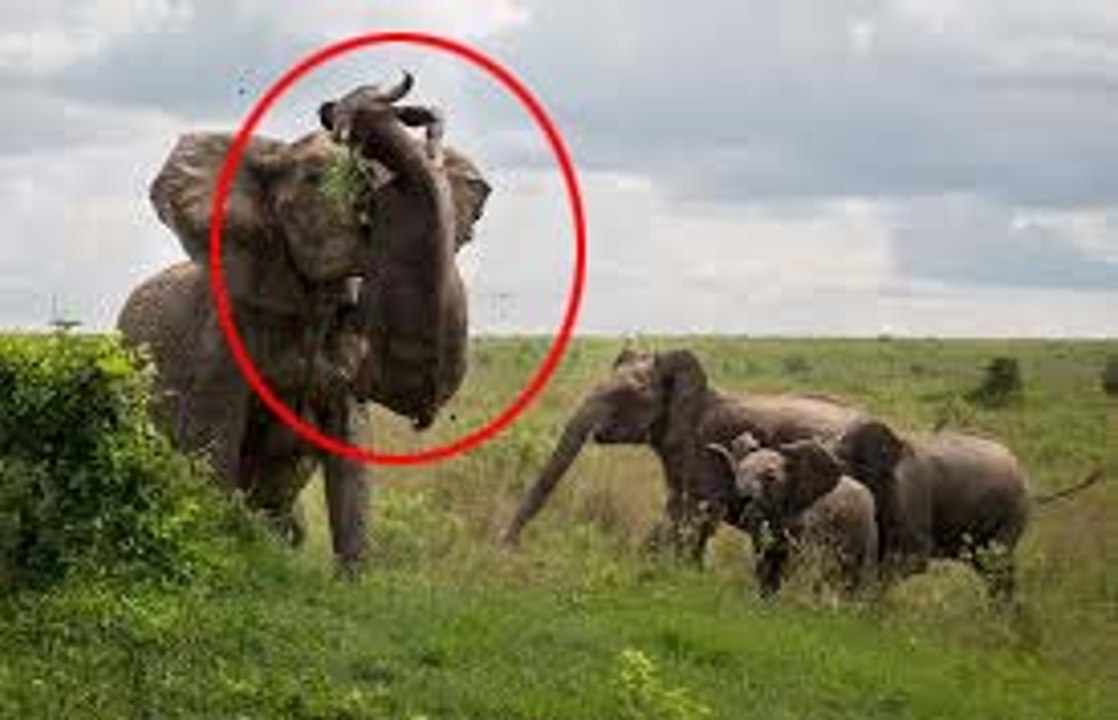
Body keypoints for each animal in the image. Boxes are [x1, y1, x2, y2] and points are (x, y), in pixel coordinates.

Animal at [118, 74, 491, 569]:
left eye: (377, 178)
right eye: (315, 179)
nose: (335, 109)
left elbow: (354, 448)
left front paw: (354, 580)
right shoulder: (222, 335)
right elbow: (214, 442)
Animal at [705, 432, 877, 597]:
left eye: (770, 478)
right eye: (738, 474)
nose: (742, 499)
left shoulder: (808, 527)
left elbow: (793, 565)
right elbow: (765, 563)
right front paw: (766, 599)